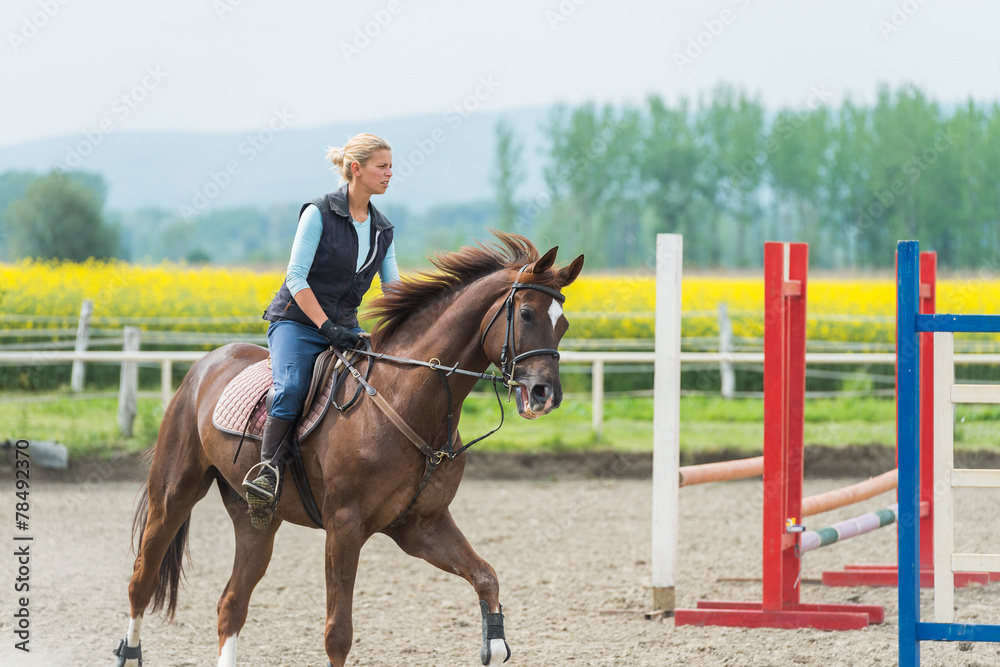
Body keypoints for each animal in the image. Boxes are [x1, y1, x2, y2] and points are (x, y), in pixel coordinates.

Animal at [115, 235, 584, 667]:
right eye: (525, 314)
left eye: (562, 325)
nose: (545, 394)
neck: (408, 400)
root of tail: (205, 363)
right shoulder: (344, 526)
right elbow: (338, 634)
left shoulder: (421, 526)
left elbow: (486, 577)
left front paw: (494, 641)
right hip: (173, 496)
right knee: (141, 582)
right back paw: (128, 650)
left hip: (256, 522)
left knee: (231, 603)